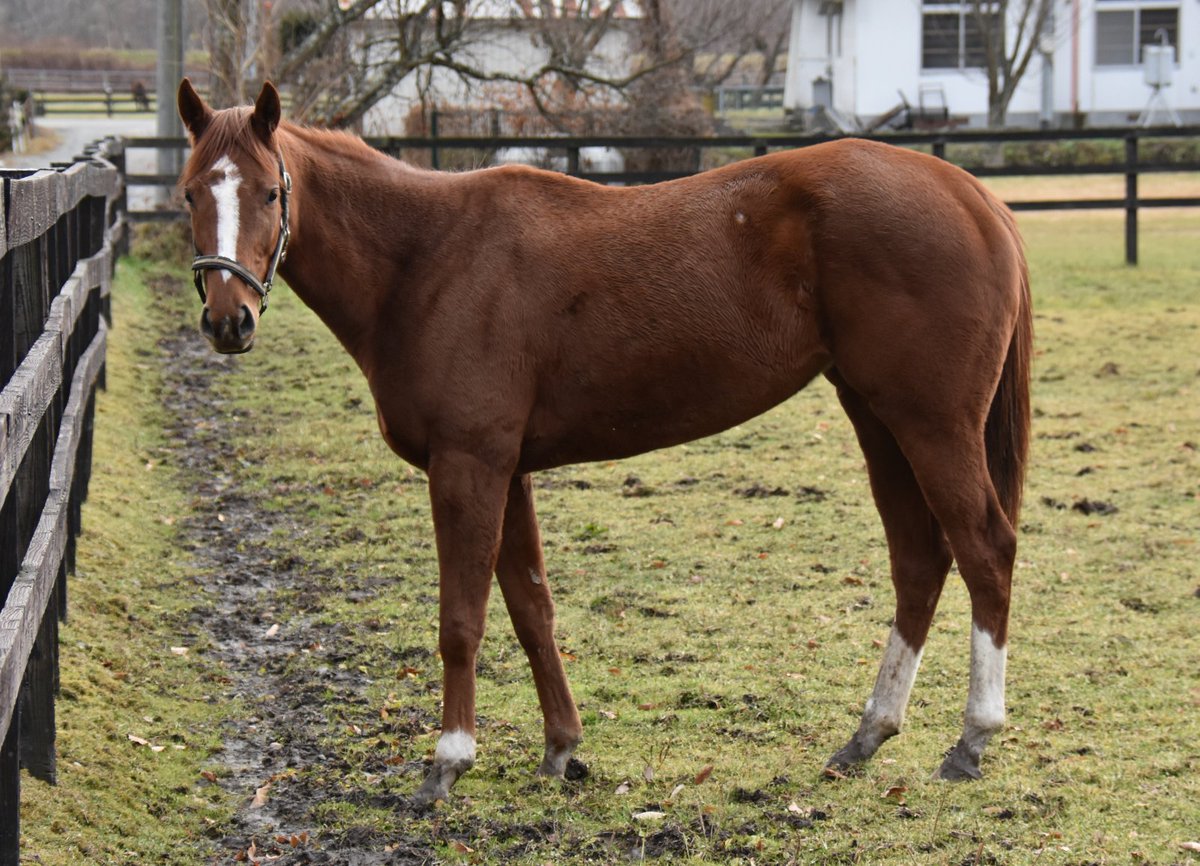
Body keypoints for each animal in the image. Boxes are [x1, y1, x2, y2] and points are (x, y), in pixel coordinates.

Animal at [177, 78, 1031, 805]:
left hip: (930, 423)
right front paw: (561, 747)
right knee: (919, 560)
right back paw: (868, 733)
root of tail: (970, 193)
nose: (227, 322)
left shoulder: (468, 466)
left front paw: (449, 759)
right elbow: (531, 608)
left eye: (270, 191)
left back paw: (972, 739)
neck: (427, 260)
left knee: (984, 548)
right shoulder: (508, 470)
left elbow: (462, 619)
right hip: (877, 418)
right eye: (189, 192)